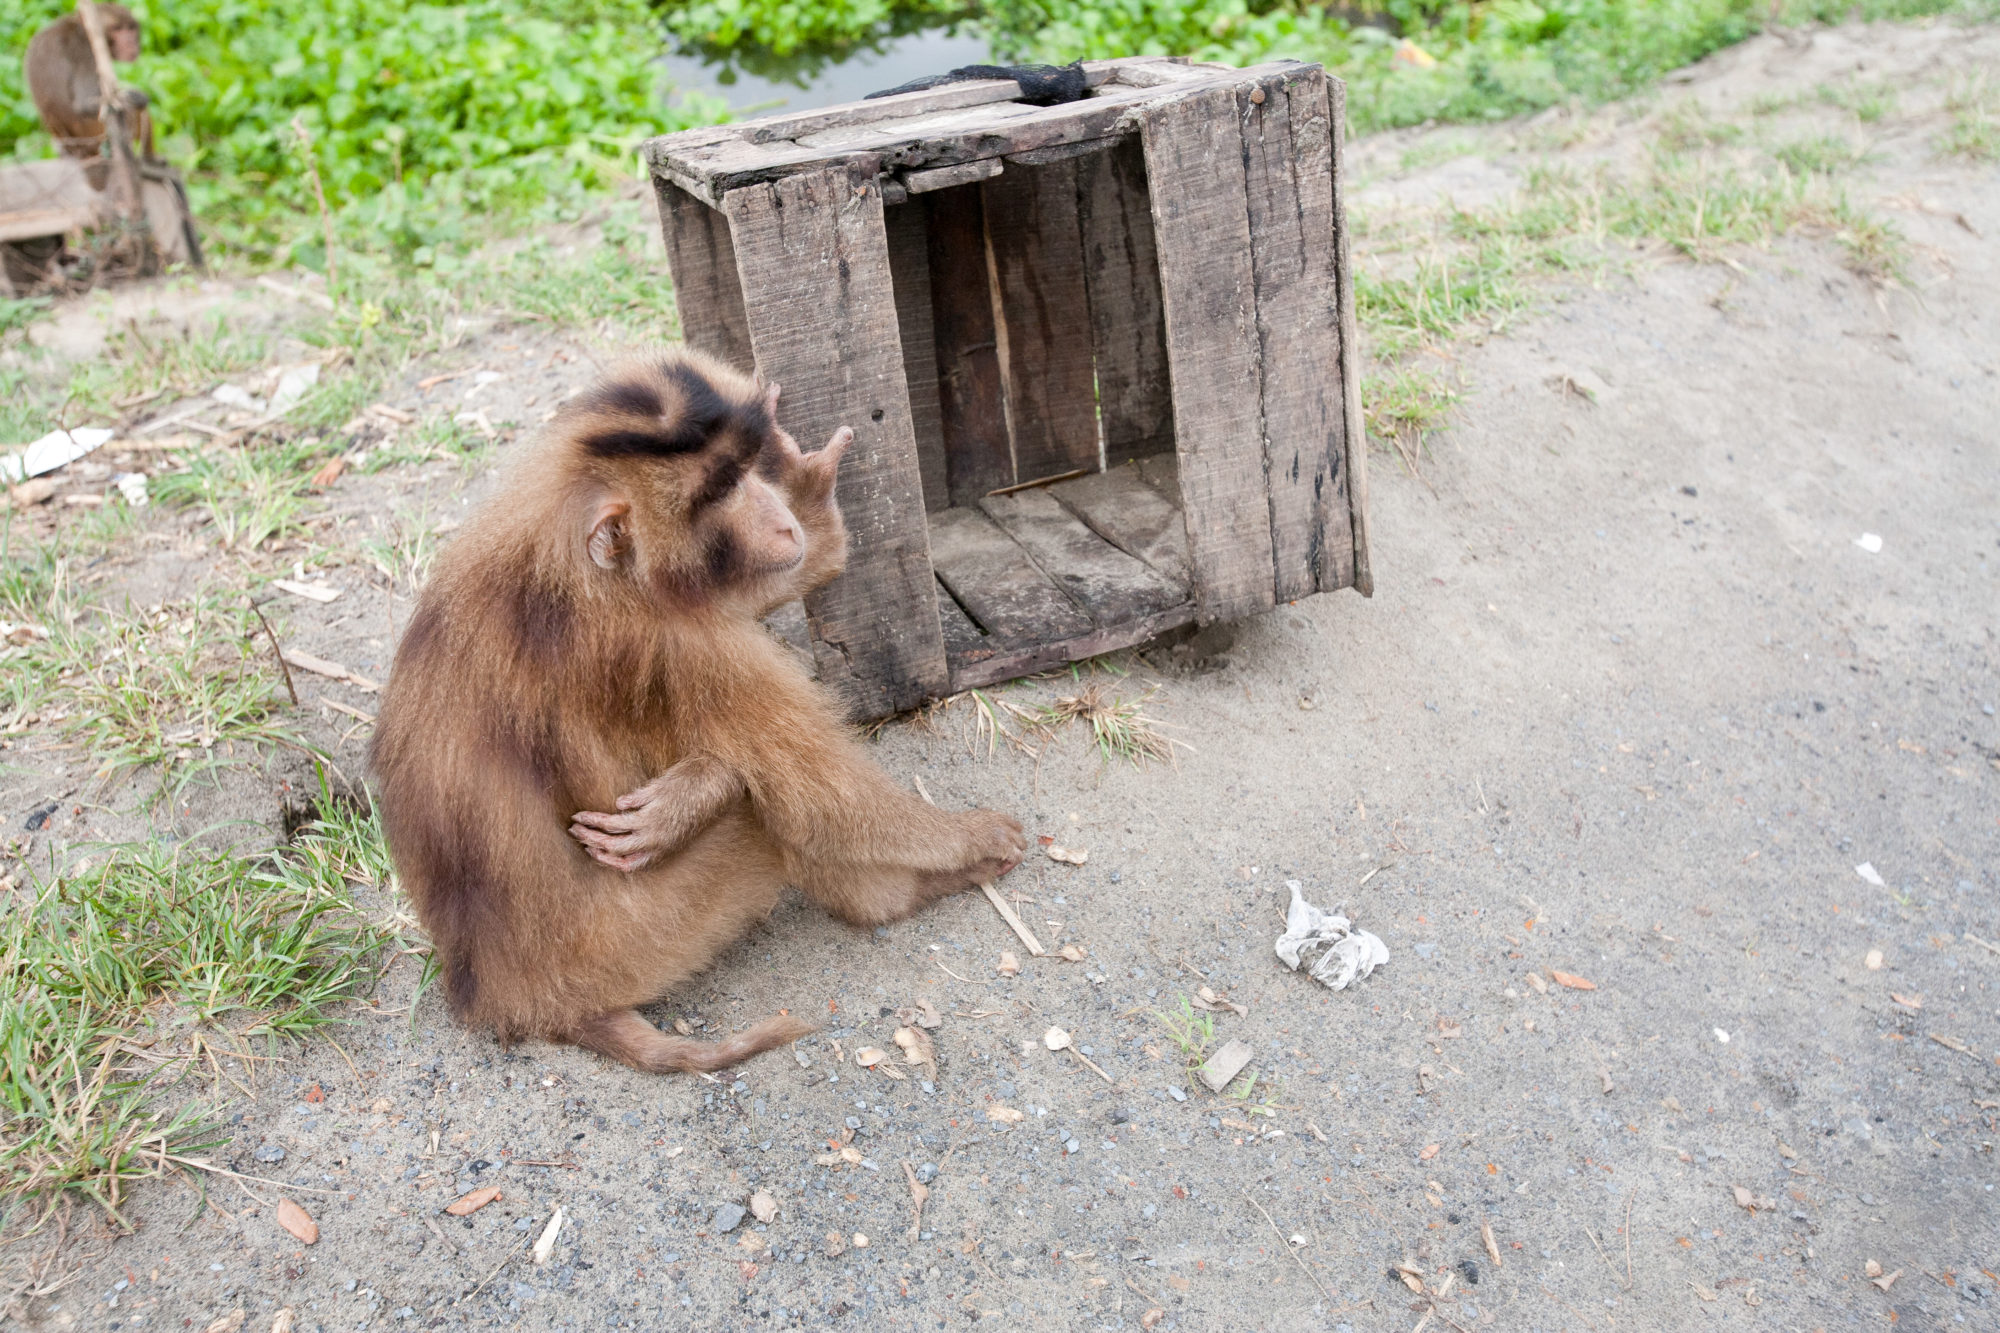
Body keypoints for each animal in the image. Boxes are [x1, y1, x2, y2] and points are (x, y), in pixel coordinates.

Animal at [24, 3, 150, 160]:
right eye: (117, 29)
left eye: (131, 28)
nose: (130, 42)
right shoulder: (86, 50)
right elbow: (86, 103)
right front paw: (138, 97)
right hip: (97, 138)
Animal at [372, 350, 1032, 1072]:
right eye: (720, 494)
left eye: (745, 474)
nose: (781, 519)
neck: (578, 565)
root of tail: (513, 999)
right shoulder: (673, 639)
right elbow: (819, 799)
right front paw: (969, 838)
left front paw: (812, 502)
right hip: (638, 942)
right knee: (771, 821)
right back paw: (911, 892)